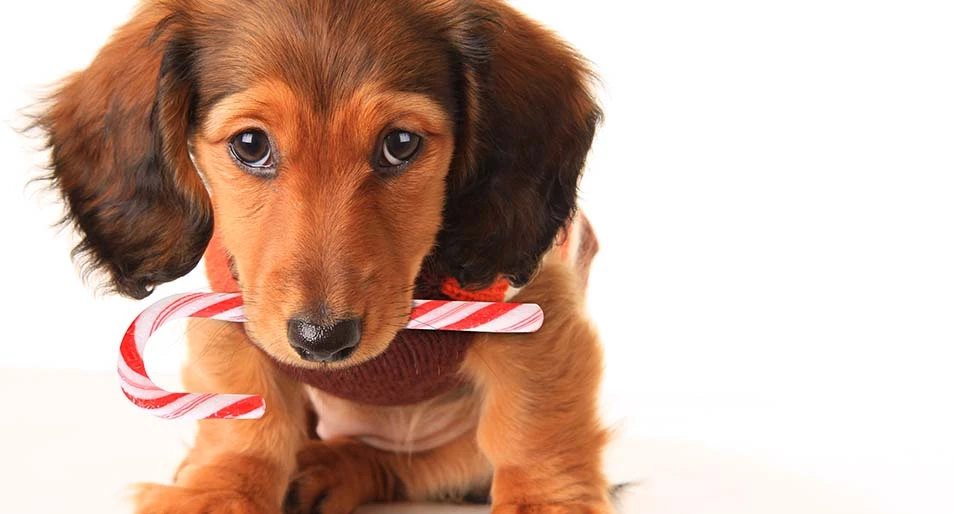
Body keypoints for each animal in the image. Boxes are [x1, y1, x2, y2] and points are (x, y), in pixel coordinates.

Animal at [37, 1, 608, 512]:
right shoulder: (232, 311)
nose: (323, 341)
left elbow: (533, 432)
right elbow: (246, 423)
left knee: (413, 462)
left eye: (401, 143)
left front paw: (544, 504)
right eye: (250, 144)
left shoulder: (538, 317)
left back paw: (337, 467)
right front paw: (218, 493)